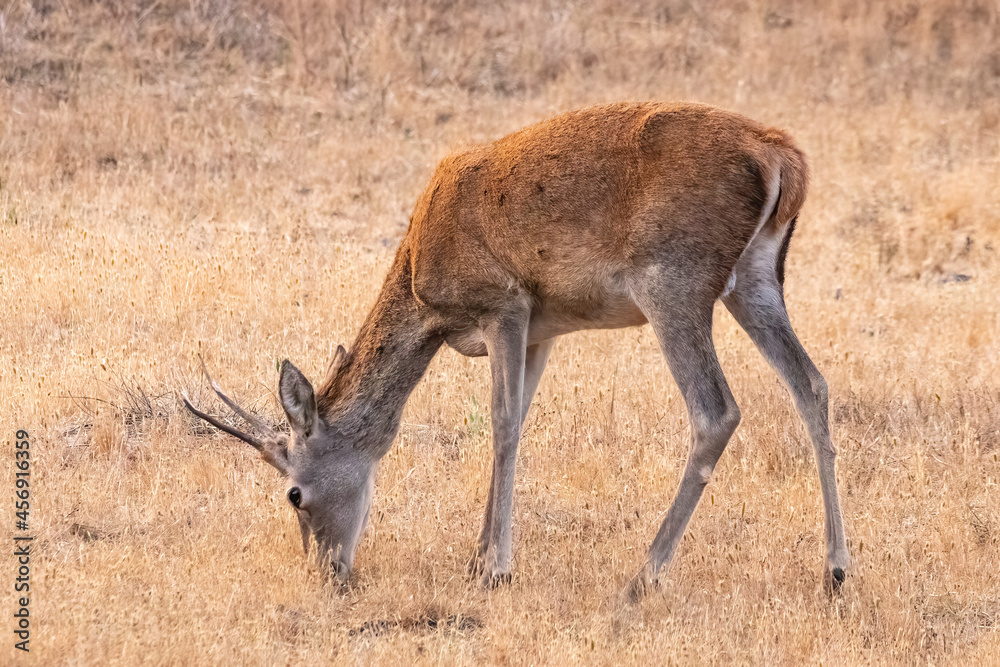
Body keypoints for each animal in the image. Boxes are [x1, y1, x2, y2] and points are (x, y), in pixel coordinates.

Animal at [183, 101, 850, 598]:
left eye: (293, 492)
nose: (328, 572)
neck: (423, 277)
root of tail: (782, 159)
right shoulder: (542, 329)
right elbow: (521, 419)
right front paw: (483, 557)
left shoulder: (503, 303)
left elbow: (502, 424)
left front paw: (492, 568)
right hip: (758, 278)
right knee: (811, 383)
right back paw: (837, 571)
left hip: (674, 282)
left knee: (716, 410)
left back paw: (642, 577)